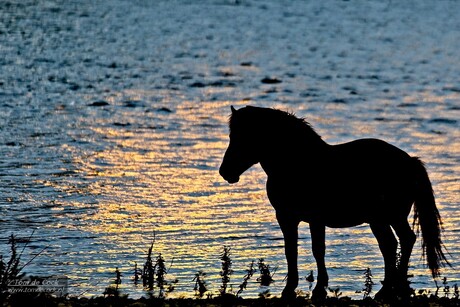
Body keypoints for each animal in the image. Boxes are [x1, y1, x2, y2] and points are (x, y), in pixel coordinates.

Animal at [219, 106, 450, 300]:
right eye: (231, 136)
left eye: (244, 137)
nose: (225, 172)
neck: (298, 163)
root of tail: (410, 161)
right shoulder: (286, 217)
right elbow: (290, 250)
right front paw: (290, 288)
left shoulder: (315, 218)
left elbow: (317, 249)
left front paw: (319, 288)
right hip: (381, 219)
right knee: (392, 244)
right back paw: (388, 289)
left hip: (388, 217)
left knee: (403, 241)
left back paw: (393, 288)